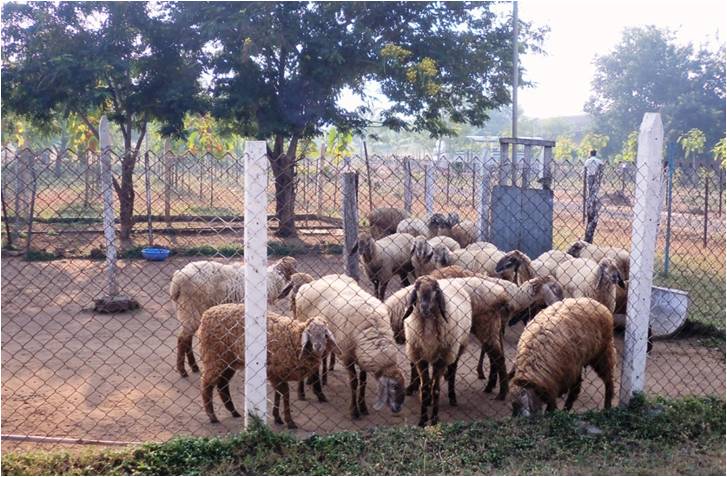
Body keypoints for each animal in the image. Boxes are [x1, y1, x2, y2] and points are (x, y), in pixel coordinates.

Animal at [198, 304, 339, 428]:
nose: (318, 346)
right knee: (207, 384)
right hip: (214, 356)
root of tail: (207, 313)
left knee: (222, 384)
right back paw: (212, 416)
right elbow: (285, 393)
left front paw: (277, 417)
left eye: (325, 333)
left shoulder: (279, 373)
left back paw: (234, 412)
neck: (294, 338)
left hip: (230, 360)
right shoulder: (274, 371)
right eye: (309, 332)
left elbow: (278, 393)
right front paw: (289, 421)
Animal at [295, 274, 406, 419]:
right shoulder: (347, 356)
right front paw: (354, 411)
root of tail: (309, 284)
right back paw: (303, 393)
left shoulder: (362, 356)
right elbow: (354, 383)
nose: (398, 409)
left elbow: (363, 381)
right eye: (394, 387)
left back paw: (316, 388)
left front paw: (363, 407)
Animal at [401, 276, 472, 426]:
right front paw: (422, 420)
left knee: (452, 371)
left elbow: (436, 389)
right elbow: (424, 388)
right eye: (416, 289)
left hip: (457, 348)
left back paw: (452, 397)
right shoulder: (420, 358)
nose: (424, 307)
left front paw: (434, 420)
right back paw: (428, 401)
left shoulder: (441, 359)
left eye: (435, 290)